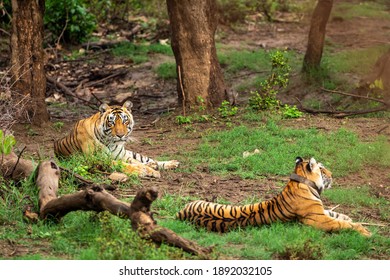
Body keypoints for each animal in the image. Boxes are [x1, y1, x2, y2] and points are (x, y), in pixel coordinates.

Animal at [177, 158, 372, 236]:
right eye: (323, 169)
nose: (332, 175)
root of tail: (180, 213)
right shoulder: (317, 219)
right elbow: (341, 224)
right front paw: (365, 231)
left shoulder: (321, 211)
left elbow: (338, 214)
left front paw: (350, 218)